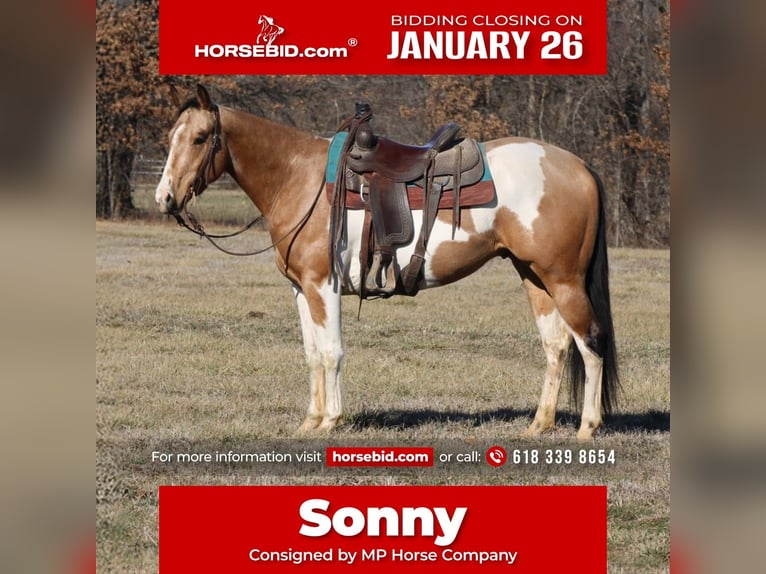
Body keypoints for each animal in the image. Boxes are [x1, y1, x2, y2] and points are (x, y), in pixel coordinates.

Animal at [155, 84, 619, 441]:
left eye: (200, 138)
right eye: (171, 137)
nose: (165, 199)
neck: (298, 179)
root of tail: (579, 166)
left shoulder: (323, 285)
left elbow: (331, 351)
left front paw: (330, 421)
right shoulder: (301, 289)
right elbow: (311, 353)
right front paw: (310, 420)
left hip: (564, 280)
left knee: (590, 342)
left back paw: (587, 428)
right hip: (534, 277)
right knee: (556, 346)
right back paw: (539, 425)